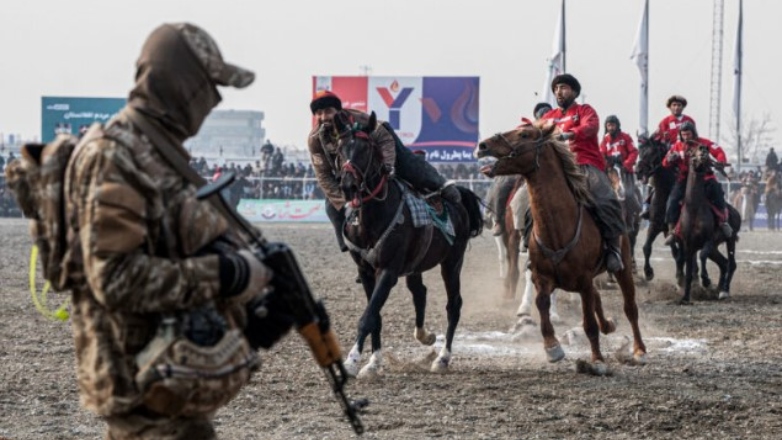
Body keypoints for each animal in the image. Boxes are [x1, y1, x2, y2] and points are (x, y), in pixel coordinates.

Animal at [336, 111, 484, 376]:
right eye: (341, 149)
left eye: (365, 149)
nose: (348, 185)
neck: (372, 218)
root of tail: (459, 195)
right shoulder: (365, 271)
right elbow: (375, 316)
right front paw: (373, 362)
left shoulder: (388, 271)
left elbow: (368, 316)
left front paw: (352, 361)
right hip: (416, 265)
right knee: (420, 292)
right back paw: (424, 336)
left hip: (452, 262)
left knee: (453, 305)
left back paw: (443, 358)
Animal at [474, 120, 648, 368]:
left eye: (524, 134)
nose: (483, 145)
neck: (557, 228)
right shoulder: (542, 277)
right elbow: (542, 304)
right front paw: (552, 347)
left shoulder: (583, 280)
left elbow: (589, 323)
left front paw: (597, 359)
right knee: (597, 297)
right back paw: (609, 324)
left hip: (622, 265)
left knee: (630, 307)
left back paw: (639, 349)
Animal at [672, 146, 740, 304]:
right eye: (691, 152)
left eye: (706, 151)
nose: (703, 149)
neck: (694, 209)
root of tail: (736, 213)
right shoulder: (688, 244)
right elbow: (689, 272)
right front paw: (685, 298)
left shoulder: (708, 240)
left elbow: (702, 255)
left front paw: (706, 280)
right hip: (715, 247)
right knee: (724, 263)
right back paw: (718, 290)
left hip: (730, 239)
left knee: (731, 263)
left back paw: (724, 291)